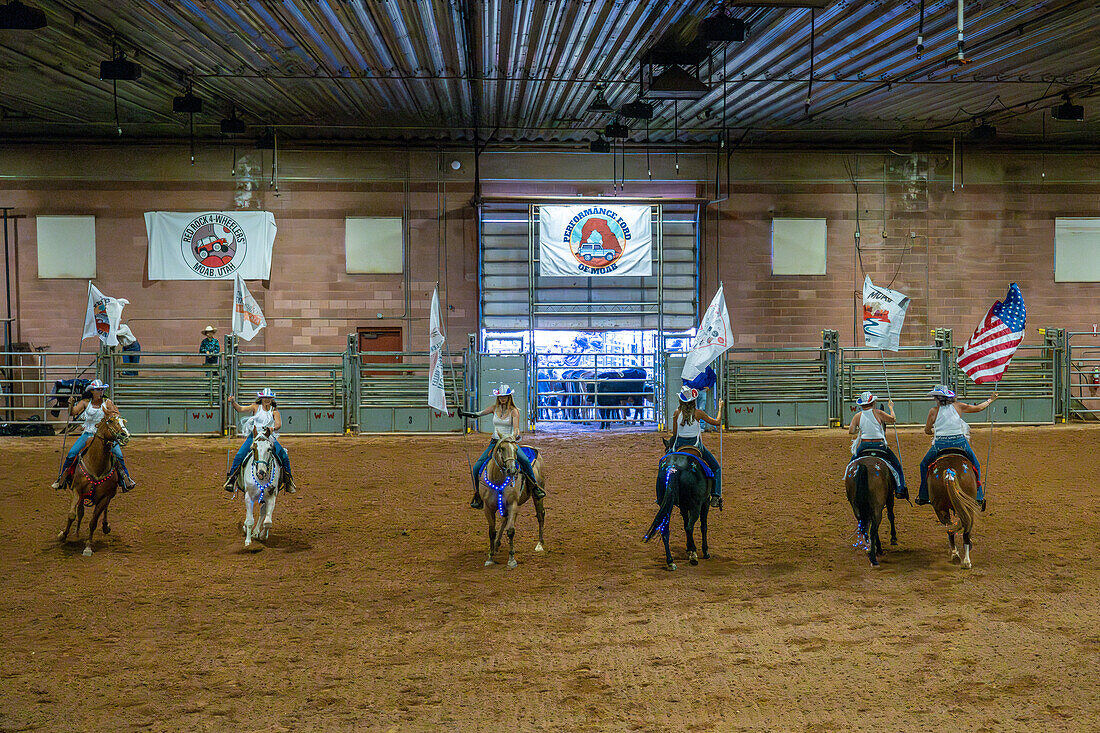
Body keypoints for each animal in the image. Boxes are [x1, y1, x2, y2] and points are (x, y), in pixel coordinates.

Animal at [56, 405, 129, 554]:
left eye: (123, 421)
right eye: (110, 420)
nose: (125, 435)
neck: (96, 464)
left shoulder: (105, 497)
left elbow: (93, 522)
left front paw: (88, 546)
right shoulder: (77, 490)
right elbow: (72, 515)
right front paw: (63, 535)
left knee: (103, 510)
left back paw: (105, 526)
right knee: (80, 512)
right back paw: (76, 533)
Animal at [479, 435, 547, 567]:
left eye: (516, 450)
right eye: (502, 448)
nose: (512, 470)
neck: (497, 480)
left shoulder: (513, 505)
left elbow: (510, 531)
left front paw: (511, 560)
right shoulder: (488, 508)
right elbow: (492, 531)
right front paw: (490, 557)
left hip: (538, 496)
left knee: (540, 515)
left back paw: (539, 544)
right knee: (504, 520)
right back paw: (496, 544)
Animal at [642, 433, 712, 572]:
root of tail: (673, 468)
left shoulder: (683, 507)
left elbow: (685, 524)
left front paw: (688, 548)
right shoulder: (705, 503)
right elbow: (703, 526)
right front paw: (703, 551)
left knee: (665, 529)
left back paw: (670, 562)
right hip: (696, 506)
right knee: (690, 527)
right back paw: (694, 556)